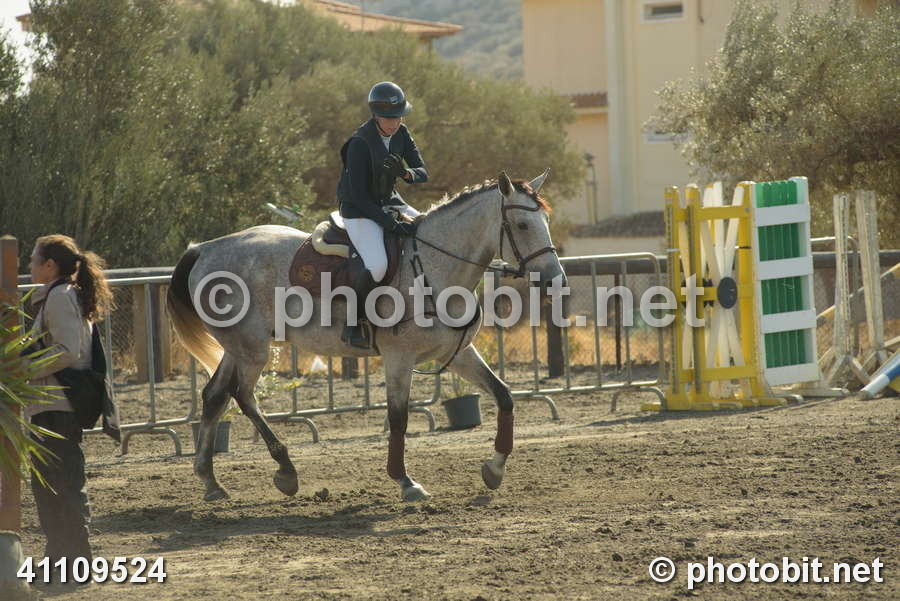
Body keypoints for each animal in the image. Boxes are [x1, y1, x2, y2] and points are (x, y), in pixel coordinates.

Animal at [166, 170, 565, 502]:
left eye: (546, 221)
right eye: (522, 223)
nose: (553, 280)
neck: (430, 268)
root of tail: (204, 248)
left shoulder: (457, 353)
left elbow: (504, 396)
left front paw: (494, 469)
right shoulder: (399, 359)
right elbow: (399, 418)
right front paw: (405, 481)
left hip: (236, 348)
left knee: (215, 397)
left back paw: (211, 481)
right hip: (252, 349)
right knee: (244, 396)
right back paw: (285, 470)